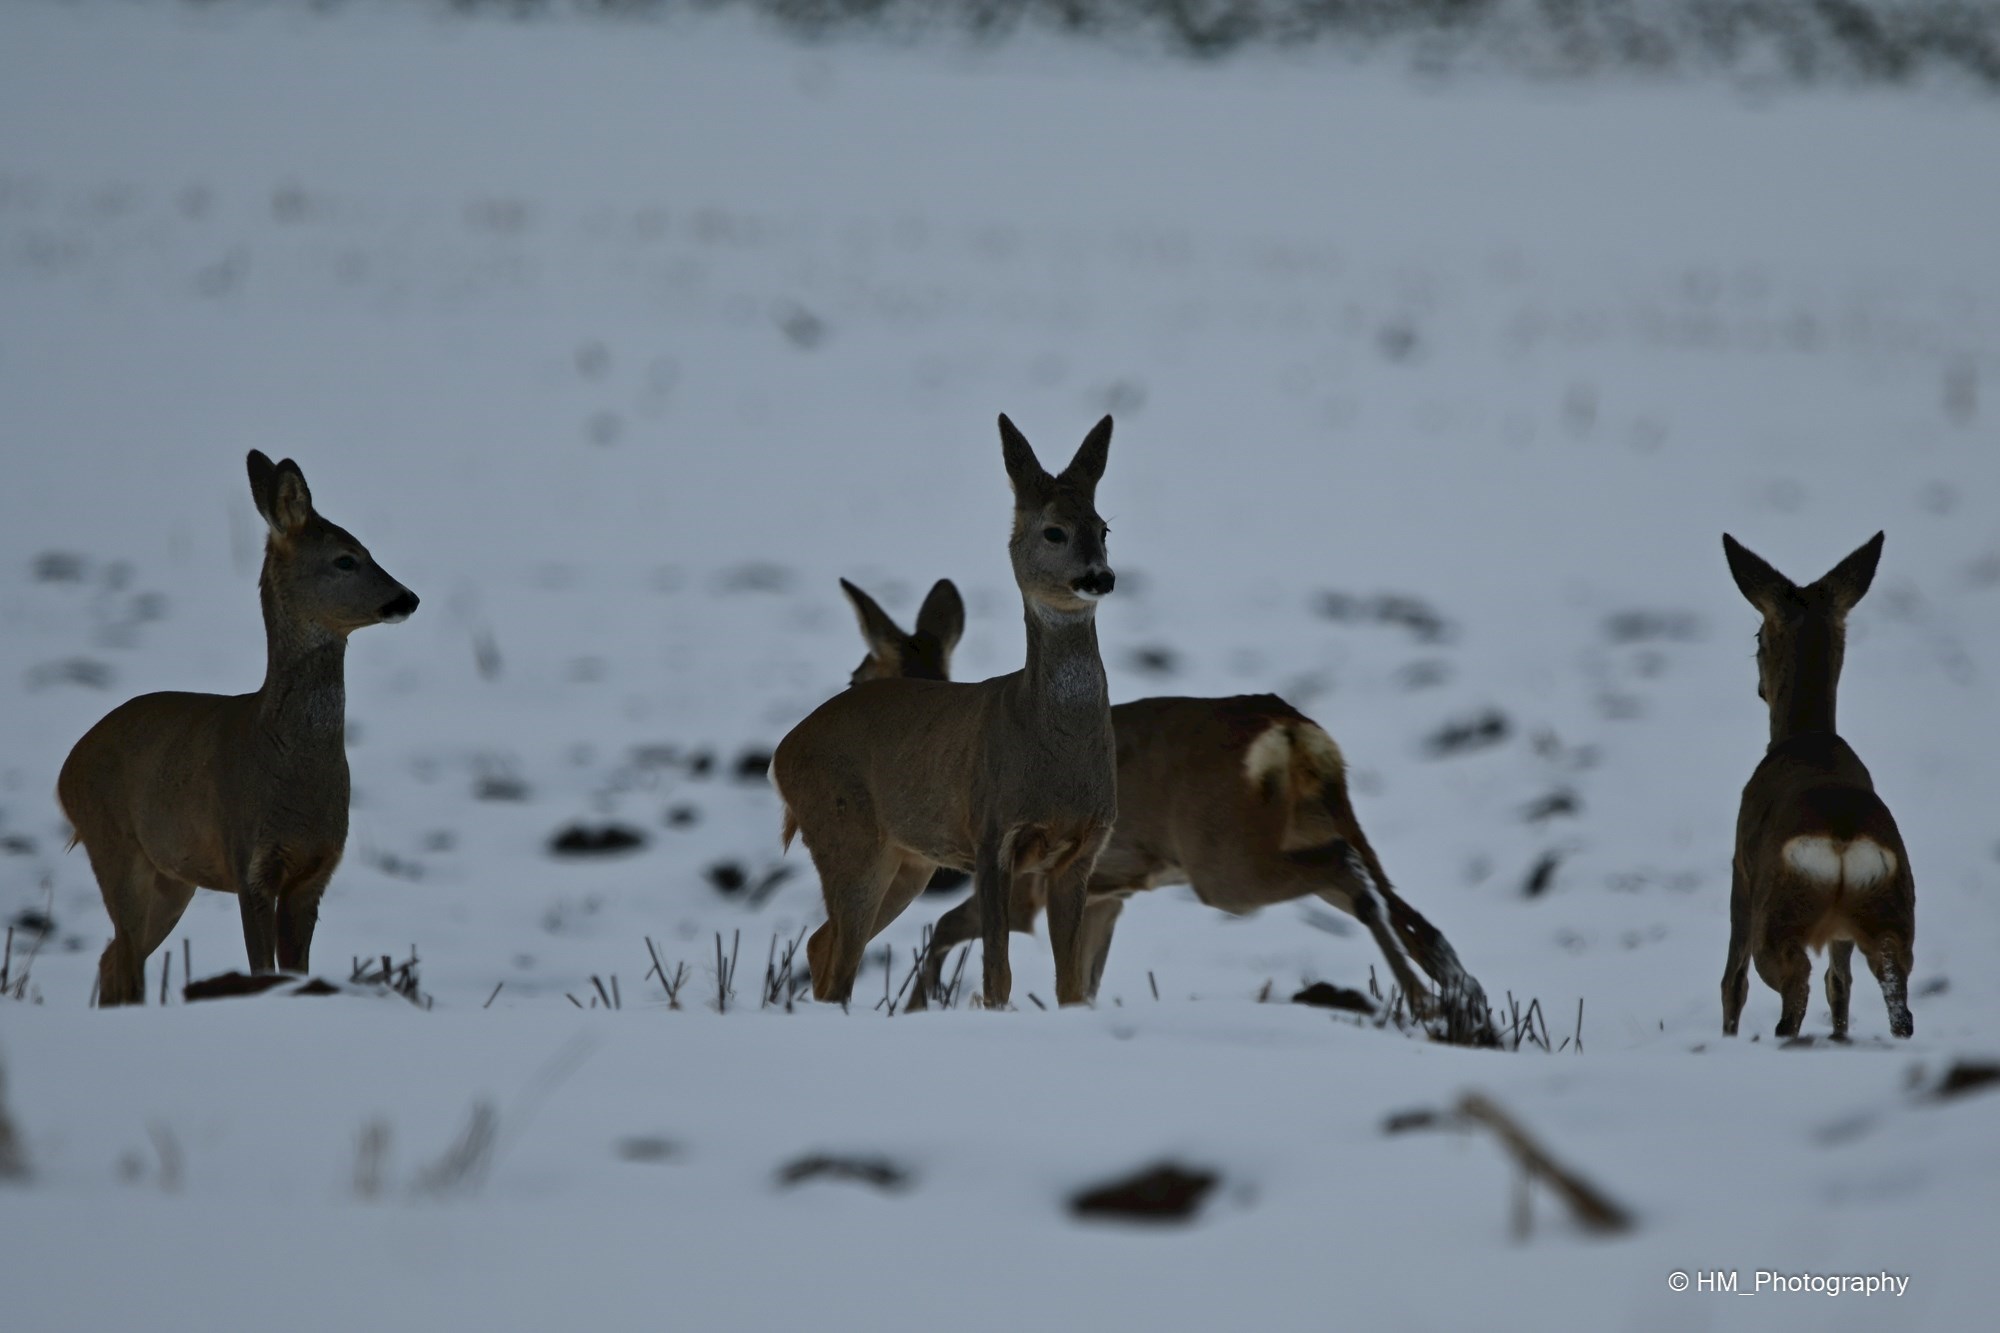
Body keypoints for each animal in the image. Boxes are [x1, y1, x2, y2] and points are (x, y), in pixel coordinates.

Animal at [59, 452, 418, 1000]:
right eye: (346, 559)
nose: (408, 598)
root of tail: (65, 771)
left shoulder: (315, 870)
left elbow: (296, 970)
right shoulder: (249, 857)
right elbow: (262, 969)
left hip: (172, 877)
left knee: (112, 956)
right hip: (113, 842)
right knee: (126, 959)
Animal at [768, 416, 1120, 1008]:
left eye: (1103, 528)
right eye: (1054, 531)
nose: (1100, 576)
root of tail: (780, 755)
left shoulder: (1083, 848)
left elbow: (1071, 983)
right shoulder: (992, 832)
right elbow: (997, 973)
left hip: (908, 861)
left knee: (822, 944)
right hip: (846, 832)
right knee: (839, 956)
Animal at [836, 572, 1496, 1040]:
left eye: (857, 676)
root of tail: (1290, 728)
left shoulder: (1023, 878)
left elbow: (948, 926)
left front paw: (917, 1007)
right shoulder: (1105, 893)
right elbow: (1084, 978)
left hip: (1224, 859)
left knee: (1351, 874)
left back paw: (1429, 1001)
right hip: (1309, 821)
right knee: (1394, 899)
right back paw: (1460, 1001)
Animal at [1712, 528, 1912, 1040]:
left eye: (1758, 635)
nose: (1760, 686)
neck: (1807, 738)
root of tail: (1840, 841)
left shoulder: (1739, 869)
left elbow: (1731, 982)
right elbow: (1839, 983)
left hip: (1778, 911)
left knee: (1791, 983)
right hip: (1889, 908)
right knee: (1887, 993)